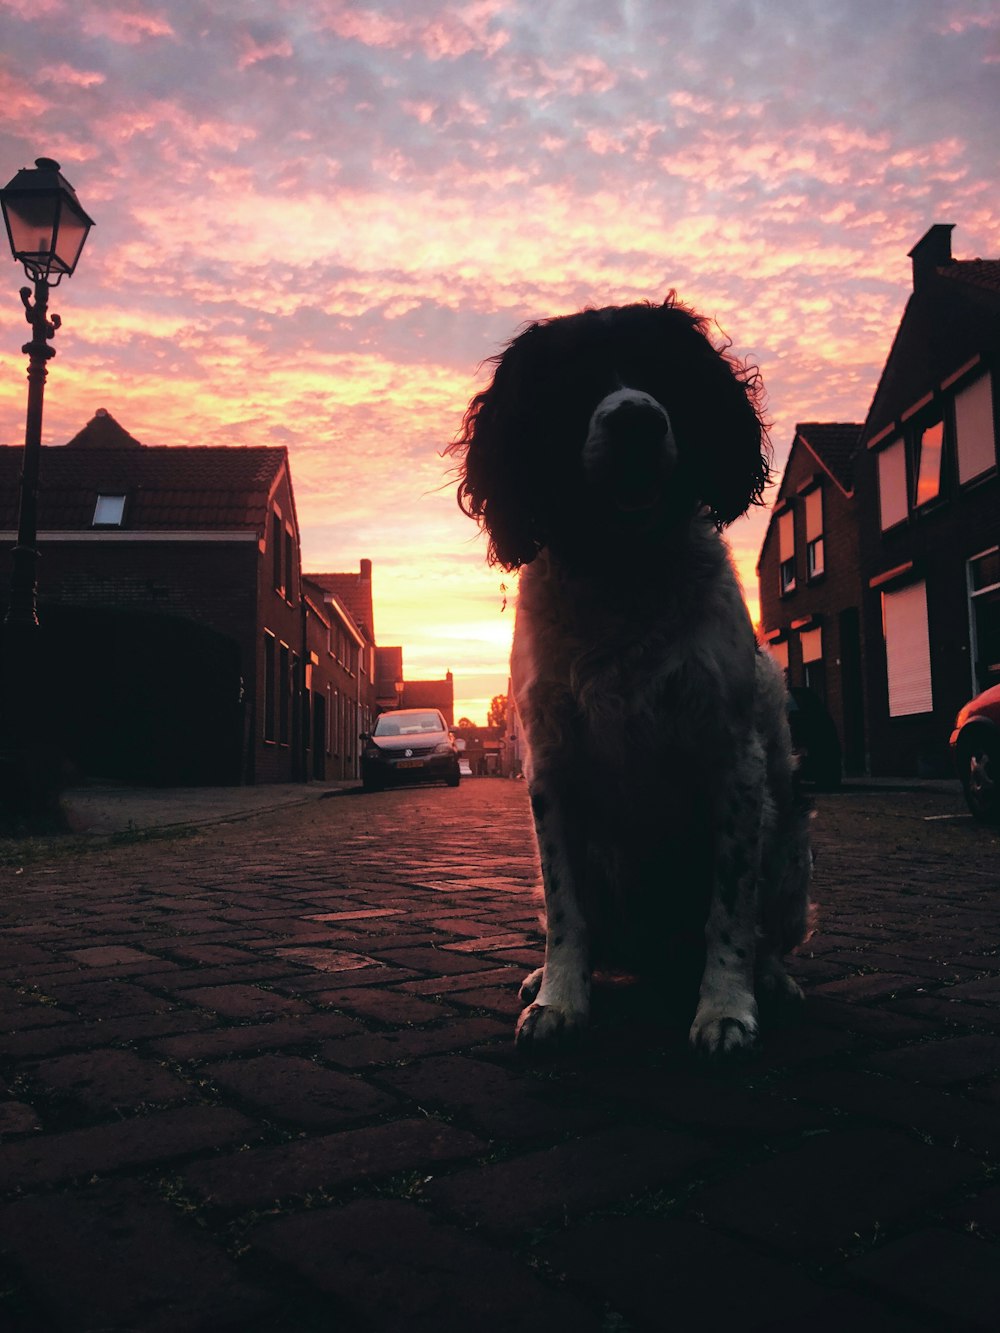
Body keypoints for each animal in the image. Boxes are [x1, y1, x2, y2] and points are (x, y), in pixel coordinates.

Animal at [453, 297, 816, 1055]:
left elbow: (729, 913)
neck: (621, 569)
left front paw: (725, 1009)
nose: (637, 419)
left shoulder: (732, 763)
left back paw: (771, 981)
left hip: (790, 850)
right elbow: (567, 912)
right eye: (574, 380)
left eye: (663, 370)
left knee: (767, 930)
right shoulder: (553, 771)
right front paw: (559, 1000)